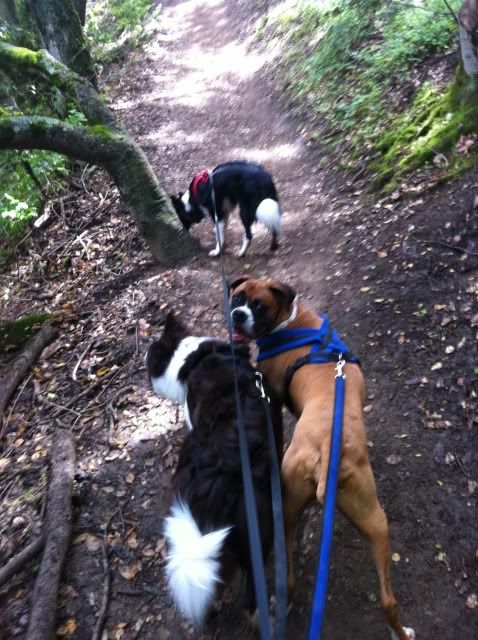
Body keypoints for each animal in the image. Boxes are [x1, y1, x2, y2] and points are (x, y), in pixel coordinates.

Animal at [229, 277, 415, 640]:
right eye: (237, 297)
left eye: (258, 305)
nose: (237, 315)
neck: (291, 321)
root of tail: (327, 448)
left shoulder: (271, 393)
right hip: (374, 520)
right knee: (388, 601)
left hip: (289, 509)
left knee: (288, 576)